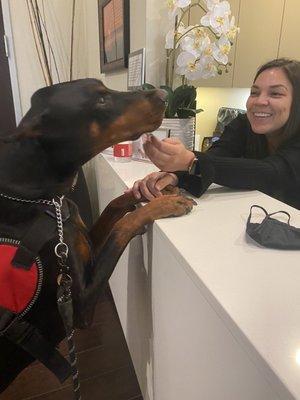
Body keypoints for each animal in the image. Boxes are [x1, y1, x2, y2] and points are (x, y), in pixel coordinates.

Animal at [0, 77, 195, 390]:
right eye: (100, 100)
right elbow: (122, 226)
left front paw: (158, 187)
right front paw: (165, 204)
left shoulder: (84, 241)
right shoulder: (80, 304)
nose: (162, 95)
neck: (40, 197)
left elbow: (116, 204)